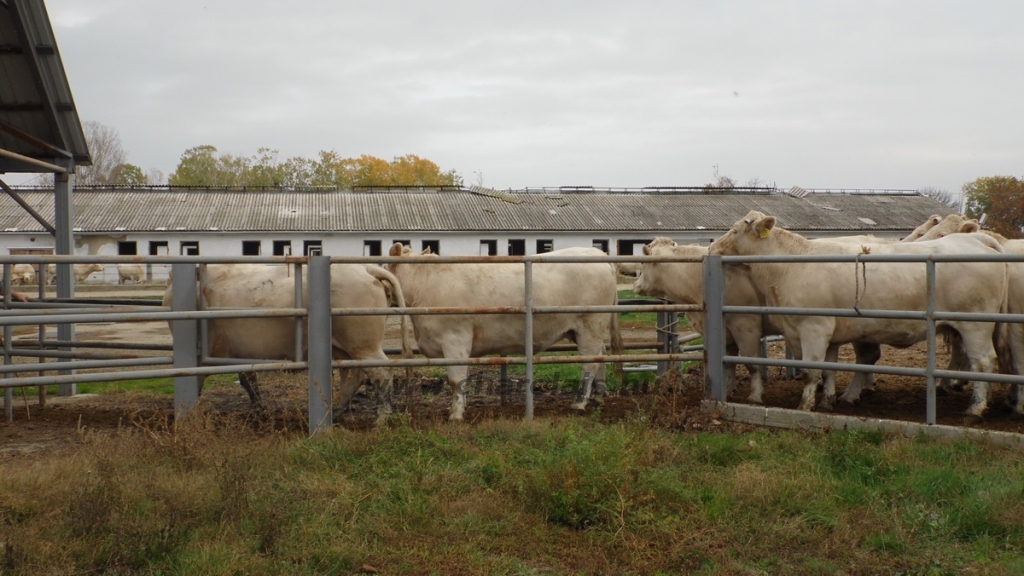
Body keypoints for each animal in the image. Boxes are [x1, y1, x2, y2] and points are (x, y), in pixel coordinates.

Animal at [163, 262, 411, 420]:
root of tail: (367, 268)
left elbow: (197, 380)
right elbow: (247, 379)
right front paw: (260, 410)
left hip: (363, 342)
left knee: (382, 372)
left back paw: (380, 419)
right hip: (348, 347)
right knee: (355, 374)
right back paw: (336, 411)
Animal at [385, 241, 618, 416]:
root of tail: (598, 253)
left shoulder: (455, 339)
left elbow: (455, 379)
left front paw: (456, 414)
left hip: (590, 325)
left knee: (590, 363)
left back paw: (579, 402)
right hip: (588, 330)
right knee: (601, 356)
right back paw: (598, 396)